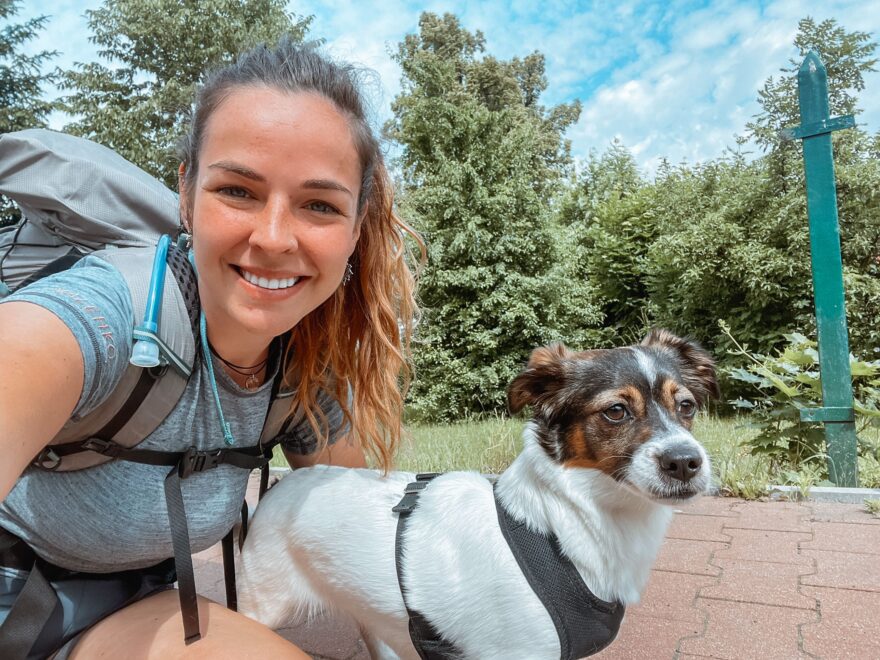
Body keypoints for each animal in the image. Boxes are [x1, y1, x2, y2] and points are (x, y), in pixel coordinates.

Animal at [237, 329, 719, 659]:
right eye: (616, 411)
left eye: (687, 406)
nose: (685, 462)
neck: (560, 529)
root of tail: (283, 485)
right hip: (259, 606)